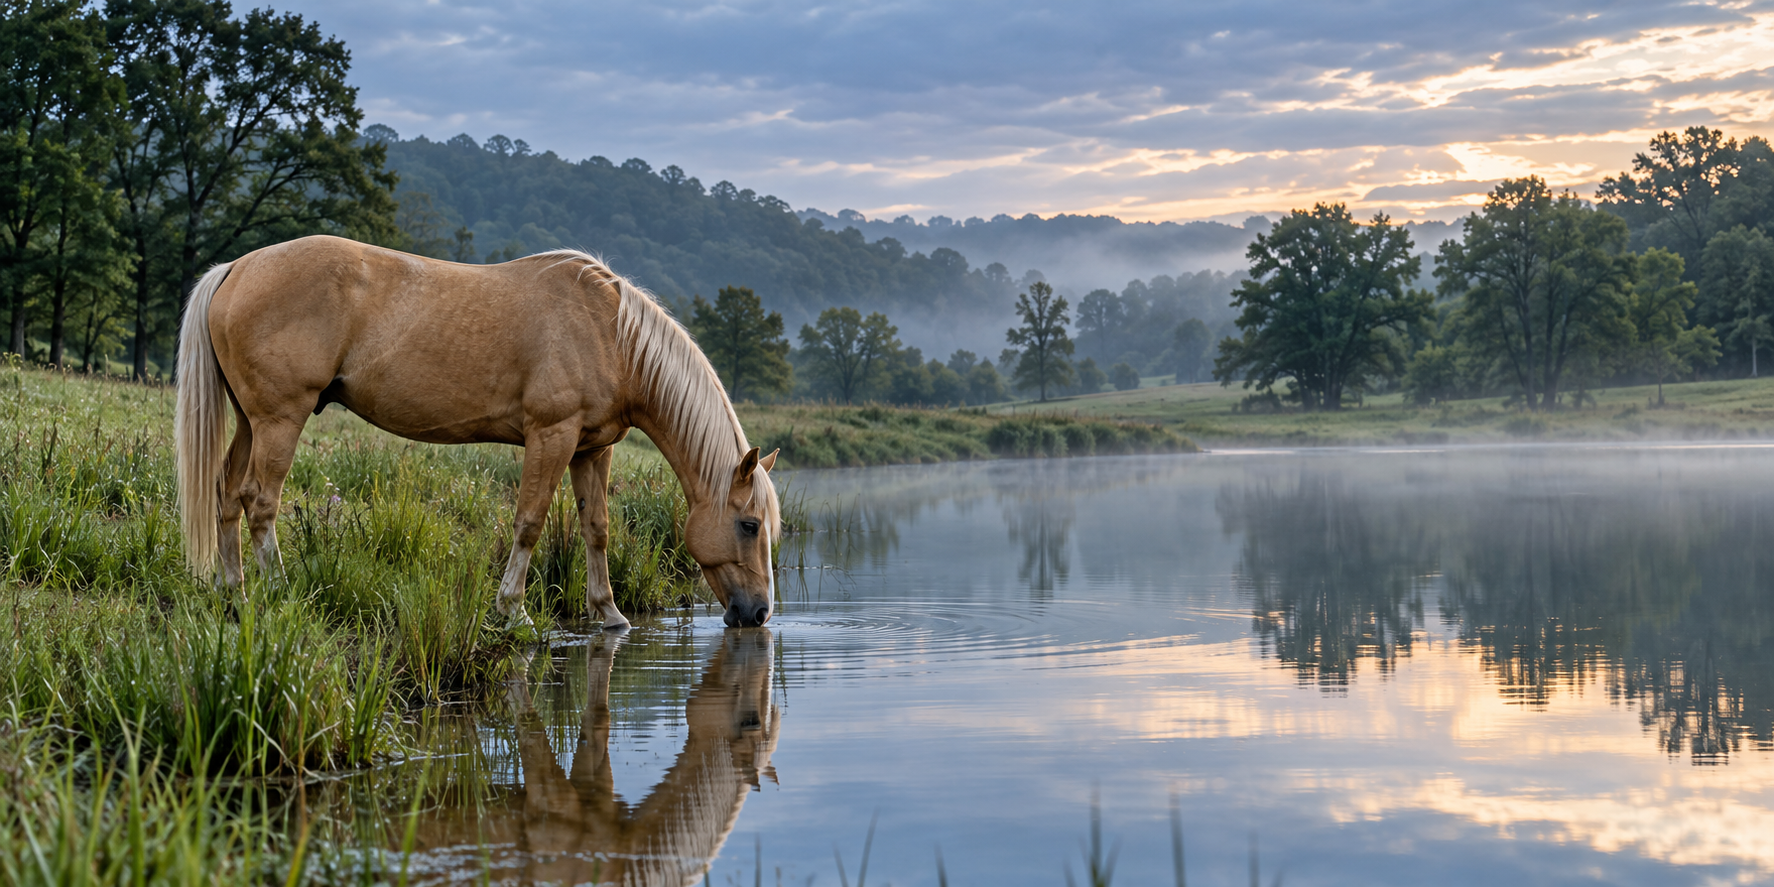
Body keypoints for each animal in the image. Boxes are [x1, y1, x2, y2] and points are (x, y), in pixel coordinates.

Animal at [173, 234, 781, 628]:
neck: (610, 333)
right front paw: (513, 612)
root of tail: (235, 268)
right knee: (260, 502)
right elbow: (530, 523)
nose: (758, 613)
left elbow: (597, 529)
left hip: (250, 421)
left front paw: (609, 614)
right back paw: (278, 590)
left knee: (228, 496)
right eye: (749, 524)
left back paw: (234, 594)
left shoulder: (591, 450)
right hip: (281, 419)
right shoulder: (552, 436)